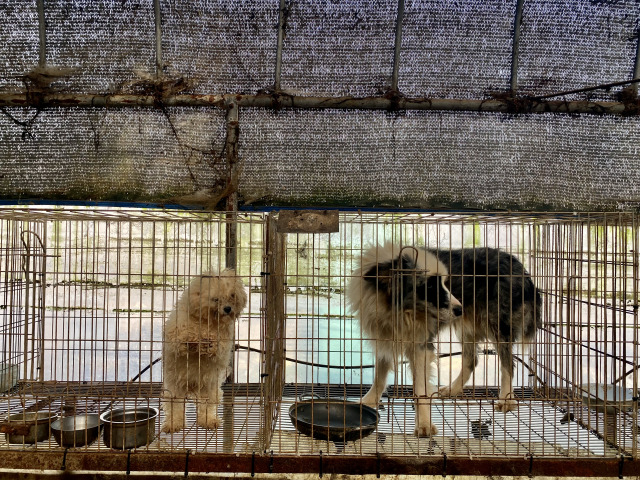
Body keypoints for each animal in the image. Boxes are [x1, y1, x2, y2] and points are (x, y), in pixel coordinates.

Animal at [161, 268, 246, 434]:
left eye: (232, 295)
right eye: (215, 299)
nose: (228, 309)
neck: (207, 322)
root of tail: (192, 386)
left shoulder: (223, 343)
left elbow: (216, 348)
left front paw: (208, 344)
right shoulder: (175, 331)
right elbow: (180, 339)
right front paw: (192, 339)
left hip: (209, 388)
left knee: (206, 406)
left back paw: (208, 421)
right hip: (174, 388)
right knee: (175, 406)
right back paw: (174, 424)